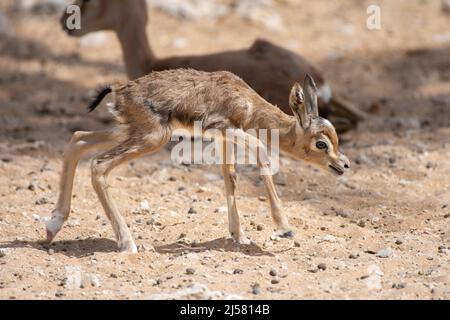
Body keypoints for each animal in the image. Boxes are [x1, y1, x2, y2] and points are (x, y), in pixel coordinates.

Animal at [47, 70, 352, 252]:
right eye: (321, 144)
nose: (343, 165)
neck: (248, 103)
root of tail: (121, 90)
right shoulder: (228, 129)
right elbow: (261, 153)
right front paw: (284, 228)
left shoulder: (224, 139)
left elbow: (230, 178)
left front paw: (240, 236)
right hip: (151, 138)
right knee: (98, 165)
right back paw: (128, 243)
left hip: (129, 132)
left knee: (77, 140)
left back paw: (53, 226)